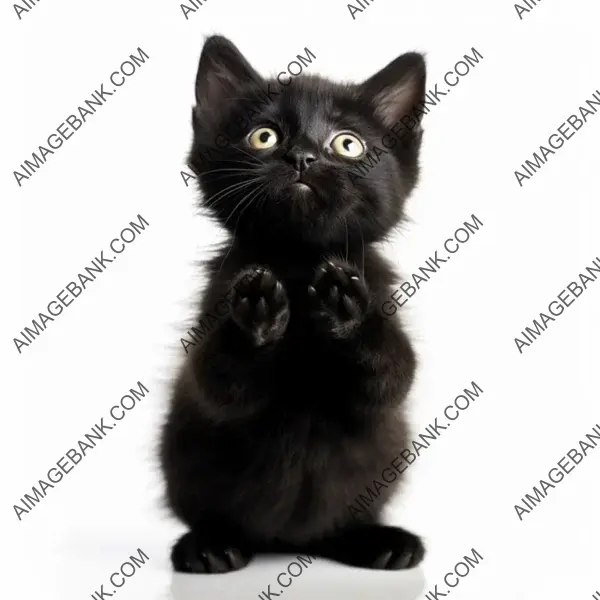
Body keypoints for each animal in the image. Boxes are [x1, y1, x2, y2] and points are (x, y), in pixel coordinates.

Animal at [159, 35, 426, 576]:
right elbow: (218, 381)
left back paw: (377, 542)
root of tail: (287, 542)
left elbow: (393, 374)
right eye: (263, 136)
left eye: (347, 144)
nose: (302, 157)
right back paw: (209, 546)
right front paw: (257, 312)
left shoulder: (382, 298)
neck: (300, 264)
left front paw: (348, 312)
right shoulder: (214, 306)